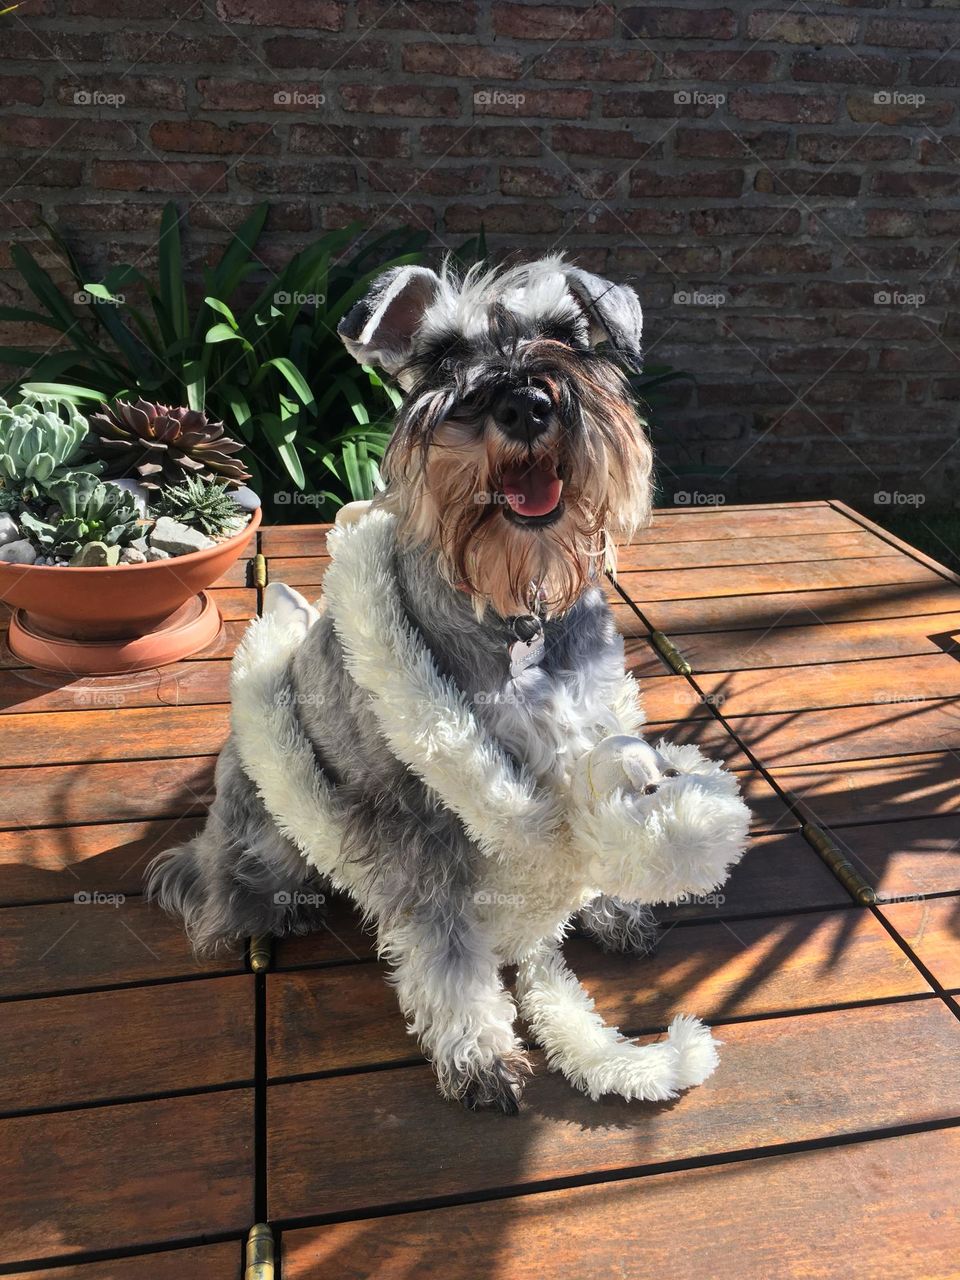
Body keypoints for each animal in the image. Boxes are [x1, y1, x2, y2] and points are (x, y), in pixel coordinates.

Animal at [148, 257, 752, 1111]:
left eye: (566, 334)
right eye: (440, 355)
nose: (526, 403)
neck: (514, 620)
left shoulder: (585, 735)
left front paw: (615, 908)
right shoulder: (415, 822)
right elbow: (446, 945)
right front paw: (476, 1051)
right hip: (263, 824)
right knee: (222, 881)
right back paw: (250, 910)